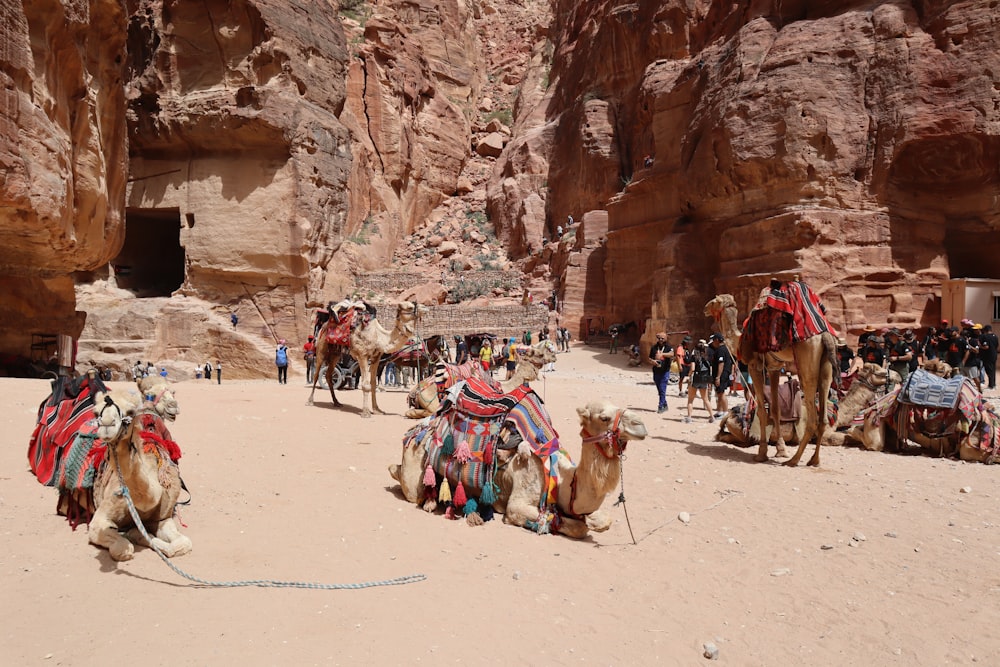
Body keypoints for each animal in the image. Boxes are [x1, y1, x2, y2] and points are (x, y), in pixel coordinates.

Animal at [88, 386, 191, 564]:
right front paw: (134, 535)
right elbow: (122, 548)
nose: (107, 424)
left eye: (130, 411)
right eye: (95, 412)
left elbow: (182, 544)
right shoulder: (98, 521)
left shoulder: (163, 518)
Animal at [390, 400, 648, 540]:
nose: (641, 425)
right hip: (414, 464)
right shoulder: (519, 500)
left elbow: (603, 520)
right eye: (604, 417)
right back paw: (429, 500)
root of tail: (417, 429)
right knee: (409, 485)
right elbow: (578, 527)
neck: (562, 479)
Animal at [402, 342, 560, 420]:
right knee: (428, 411)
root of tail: (415, 391)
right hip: (432, 401)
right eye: (540, 354)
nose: (554, 357)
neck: (504, 387)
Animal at [704, 292, 836, 470]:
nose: (705, 308)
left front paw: (762, 453)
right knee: (823, 416)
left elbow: (761, 410)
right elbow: (775, 409)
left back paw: (794, 460)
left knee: (813, 417)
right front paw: (781, 450)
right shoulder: (774, 367)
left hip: (807, 364)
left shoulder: (754, 365)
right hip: (826, 367)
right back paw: (814, 461)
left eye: (714, 301)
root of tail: (824, 336)